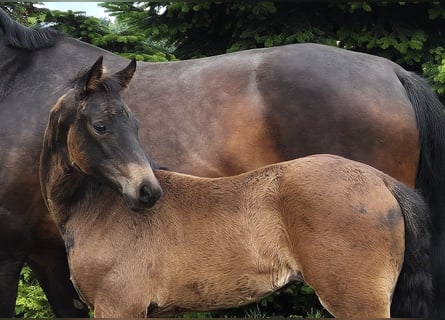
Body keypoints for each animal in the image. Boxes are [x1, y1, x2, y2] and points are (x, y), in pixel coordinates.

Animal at [40, 57, 430, 318]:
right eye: (101, 125)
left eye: (134, 124)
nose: (147, 191)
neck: (98, 210)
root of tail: (381, 180)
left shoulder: (118, 305)